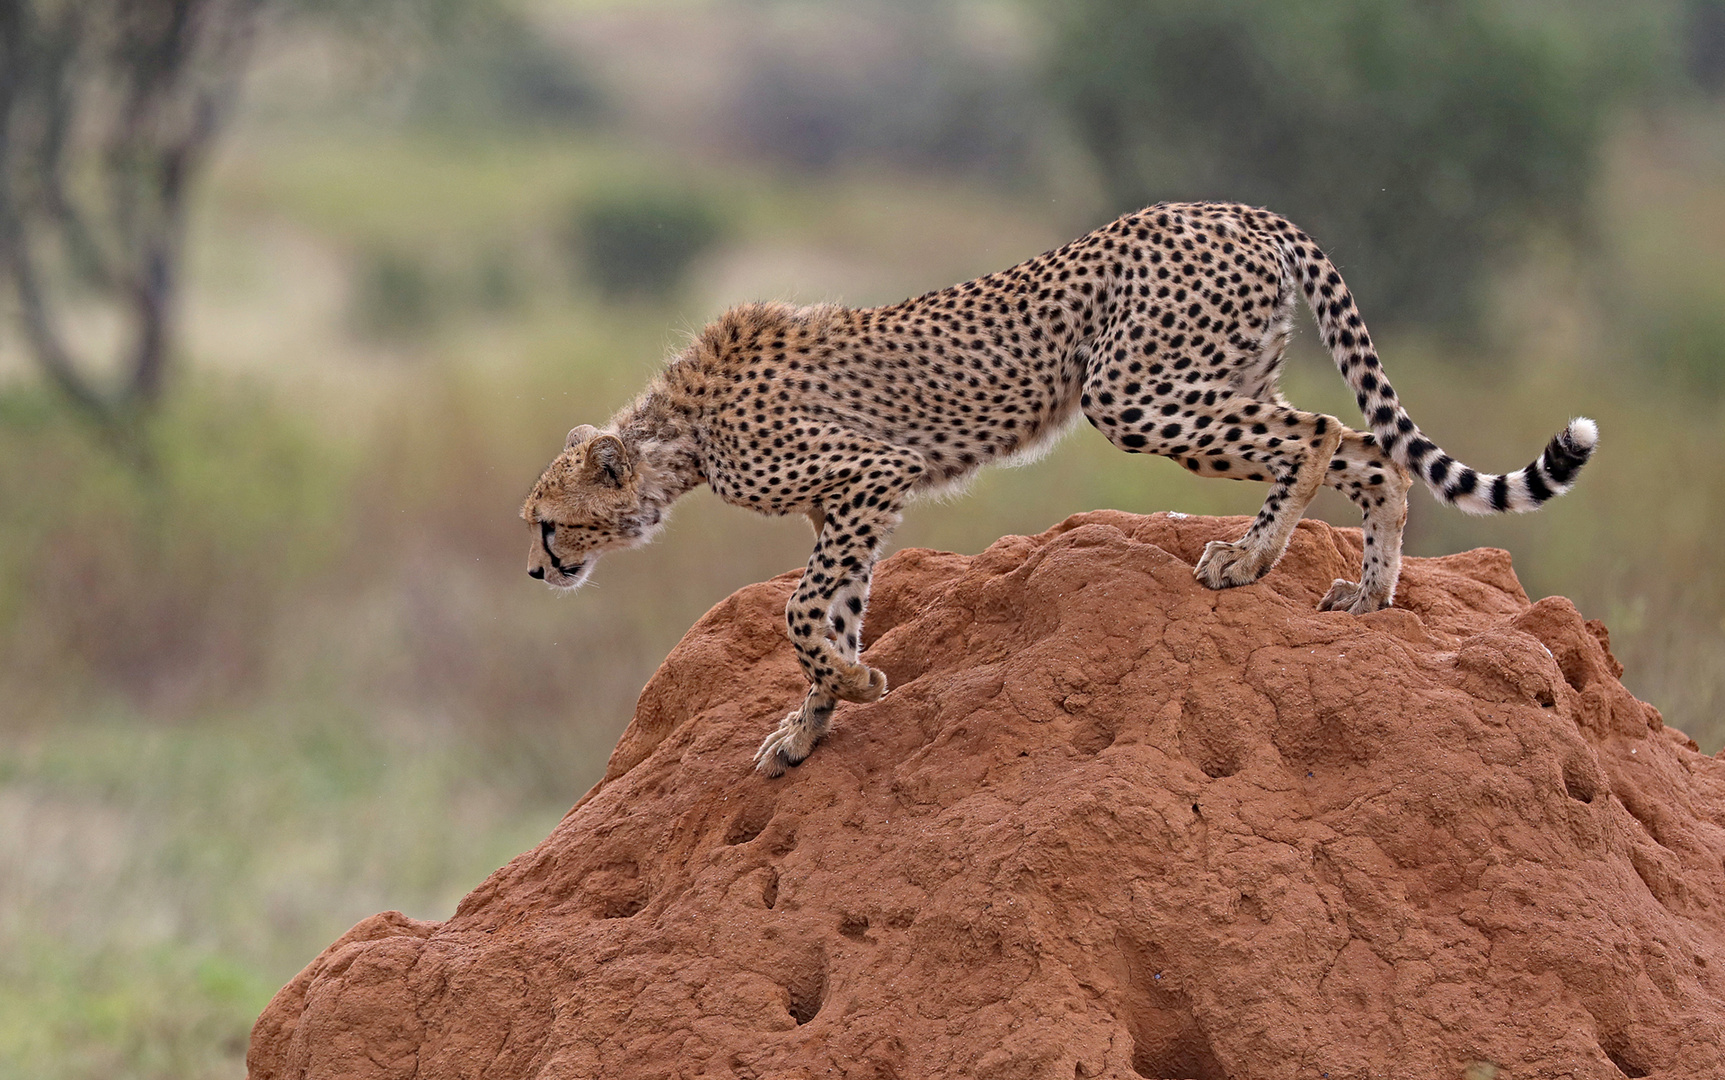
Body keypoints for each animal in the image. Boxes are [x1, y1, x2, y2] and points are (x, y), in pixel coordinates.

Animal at [517, 201, 1593, 772]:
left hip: (1136, 390)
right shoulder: (851, 504)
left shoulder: (868, 475)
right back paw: (1368, 592)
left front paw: (846, 689)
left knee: (1324, 433)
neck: (677, 438)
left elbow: (803, 612)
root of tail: (1231, 208)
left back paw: (1249, 559)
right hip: (1220, 376)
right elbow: (834, 613)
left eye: (547, 524)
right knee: (1371, 451)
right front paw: (810, 723)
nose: (537, 573)